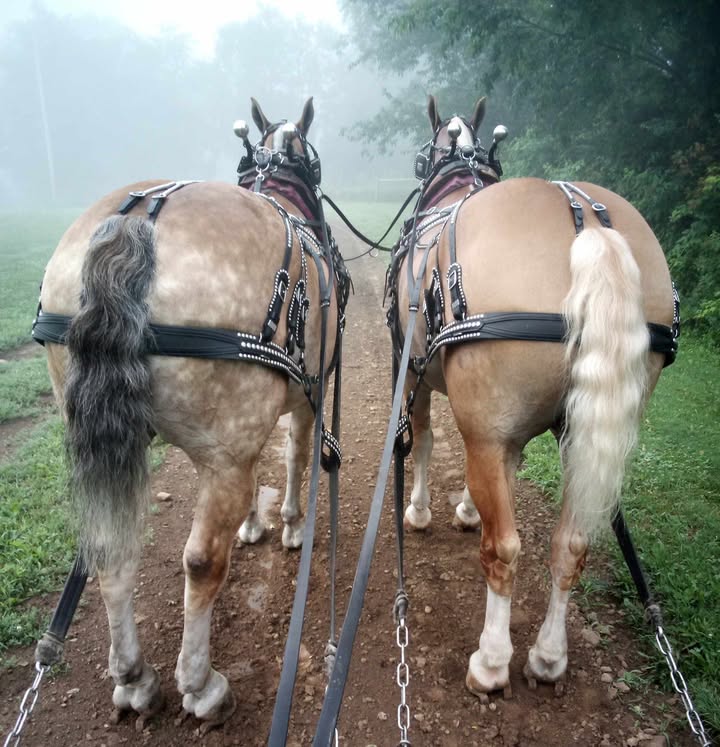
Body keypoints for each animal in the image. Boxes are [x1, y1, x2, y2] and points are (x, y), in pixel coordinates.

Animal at [33, 97, 347, 731]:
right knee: (202, 562)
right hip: (222, 458)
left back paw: (134, 678)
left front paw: (254, 524)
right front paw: (291, 525)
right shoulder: (306, 395)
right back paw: (201, 686)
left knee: (112, 551)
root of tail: (140, 220)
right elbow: (297, 453)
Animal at [386, 95, 677, 698]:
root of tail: (583, 216)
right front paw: (467, 510)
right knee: (571, 546)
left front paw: (421, 512)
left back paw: (492, 662)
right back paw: (548, 656)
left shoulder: (415, 374)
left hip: (484, 423)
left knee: (505, 550)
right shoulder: (504, 429)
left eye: (424, 157)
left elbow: (422, 441)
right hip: (576, 431)